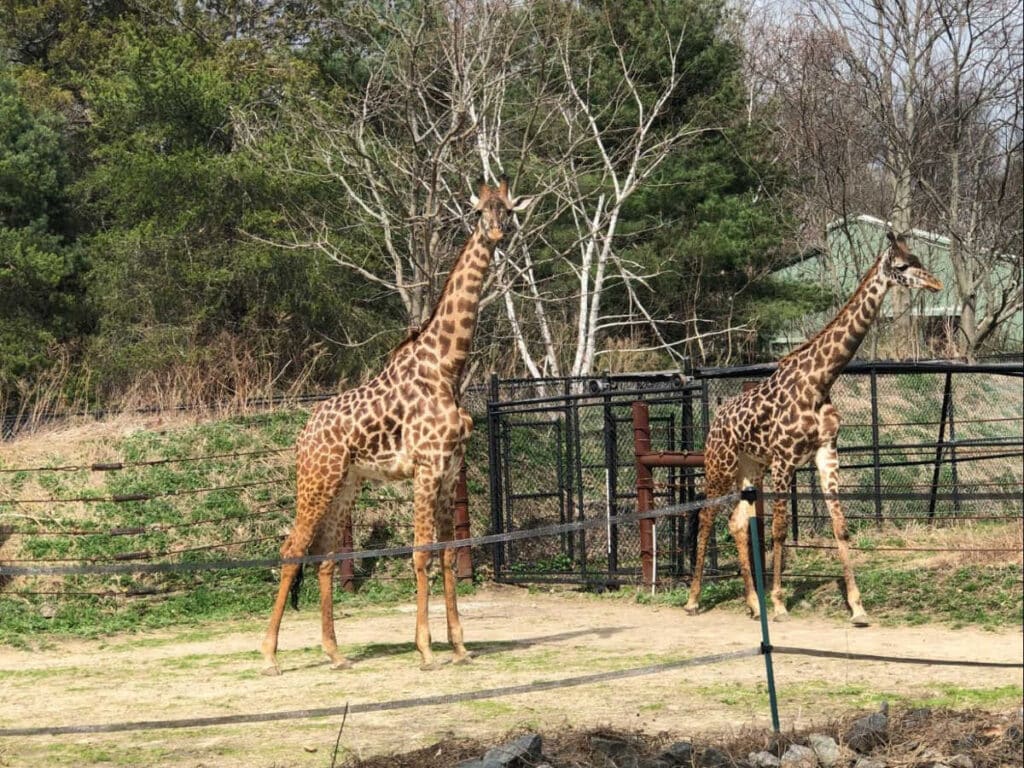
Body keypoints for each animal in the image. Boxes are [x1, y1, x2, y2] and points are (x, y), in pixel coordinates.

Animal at [260, 178, 532, 675]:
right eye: (479, 211)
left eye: (508, 210)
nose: (497, 233)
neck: (448, 368)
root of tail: (303, 435)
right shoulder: (426, 468)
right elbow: (420, 552)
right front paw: (425, 649)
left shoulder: (449, 471)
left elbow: (448, 554)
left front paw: (459, 647)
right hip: (316, 479)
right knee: (292, 551)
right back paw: (270, 655)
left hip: (346, 484)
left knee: (326, 558)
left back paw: (335, 653)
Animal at [685, 231, 942, 625]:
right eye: (901, 266)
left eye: (918, 259)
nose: (935, 283)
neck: (819, 381)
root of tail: (716, 419)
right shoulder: (784, 459)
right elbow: (778, 530)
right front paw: (779, 604)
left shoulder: (826, 453)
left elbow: (840, 526)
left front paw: (857, 607)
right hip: (720, 464)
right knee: (706, 515)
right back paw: (694, 600)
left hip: (750, 467)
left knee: (737, 522)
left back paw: (752, 604)